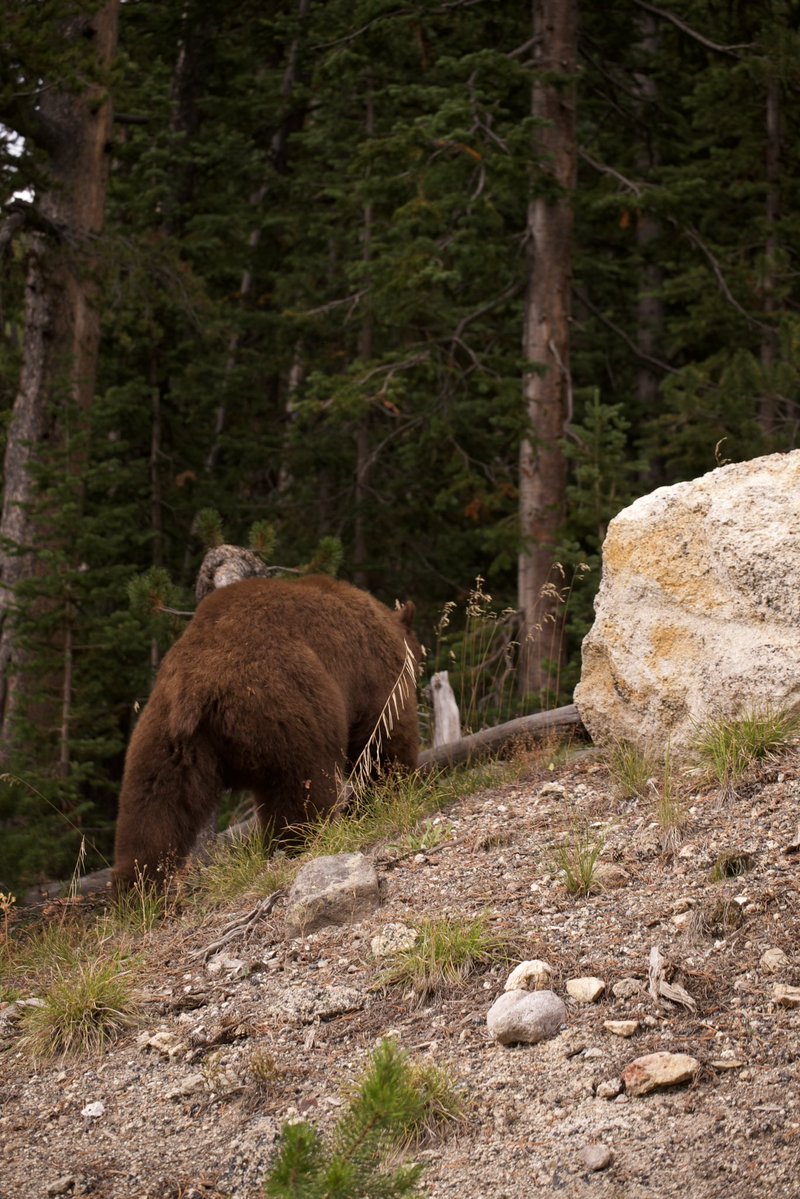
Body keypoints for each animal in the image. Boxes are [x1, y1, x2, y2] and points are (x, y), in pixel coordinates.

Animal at [112, 575, 420, 888]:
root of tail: (197, 685)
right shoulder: (374, 675)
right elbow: (386, 739)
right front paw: (388, 795)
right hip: (286, 709)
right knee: (301, 788)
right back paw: (300, 841)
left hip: (164, 739)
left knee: (151, 811)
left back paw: (136, 887)